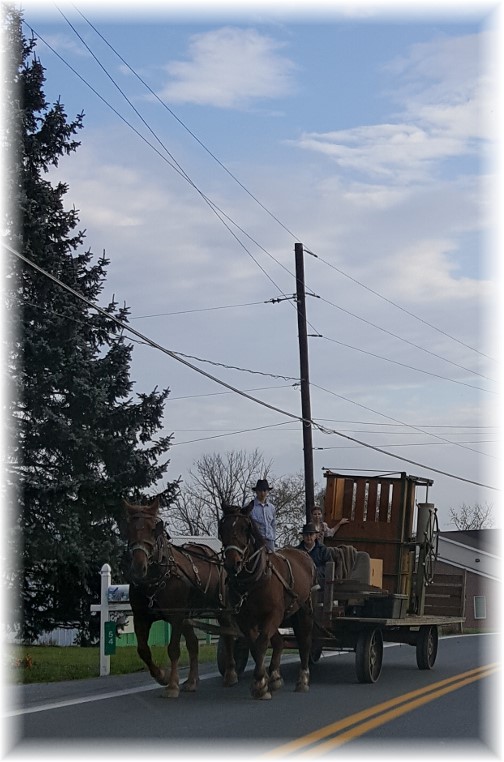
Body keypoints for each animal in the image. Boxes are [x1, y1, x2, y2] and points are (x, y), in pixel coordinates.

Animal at [123, 496, 238, 696]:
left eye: (153, 529)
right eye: (129, 529)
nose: (138, 567)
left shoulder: (176, 616)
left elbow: (174, 649)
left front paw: (172, 685)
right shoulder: (141, 617)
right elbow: (143, 650)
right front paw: (162, 676)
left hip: (221, 609)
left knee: (228, 635)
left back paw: (230, 674)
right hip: (187, 616)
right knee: (193, 643)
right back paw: (192, 681)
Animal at [217, 502, 316, 696]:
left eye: (245, 528)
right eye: (222, 528)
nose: (233, 564)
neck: (252, 581)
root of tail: (305, 555)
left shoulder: (273, 614)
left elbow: (262, 643)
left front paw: (260, 684)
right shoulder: (244, 619)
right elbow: (254, 645)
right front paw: (263, 679)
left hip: (304, 610)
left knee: (304, 641)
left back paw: (303, 679)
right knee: (279, 641)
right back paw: (275, 676)